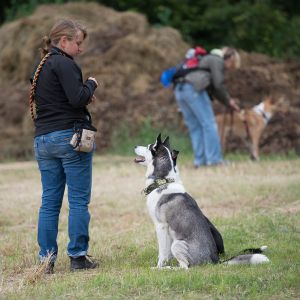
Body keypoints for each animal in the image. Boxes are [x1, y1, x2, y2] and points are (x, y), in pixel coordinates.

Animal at [134, 134, 270, 270]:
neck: (164, 181)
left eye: (148, 147)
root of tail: (216, 260)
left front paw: (158, 267)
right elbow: (166, 254)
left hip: (177, 244)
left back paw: (168, 269)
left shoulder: (161, 226)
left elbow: (162, 253)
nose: (135, 146)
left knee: (185, 267)